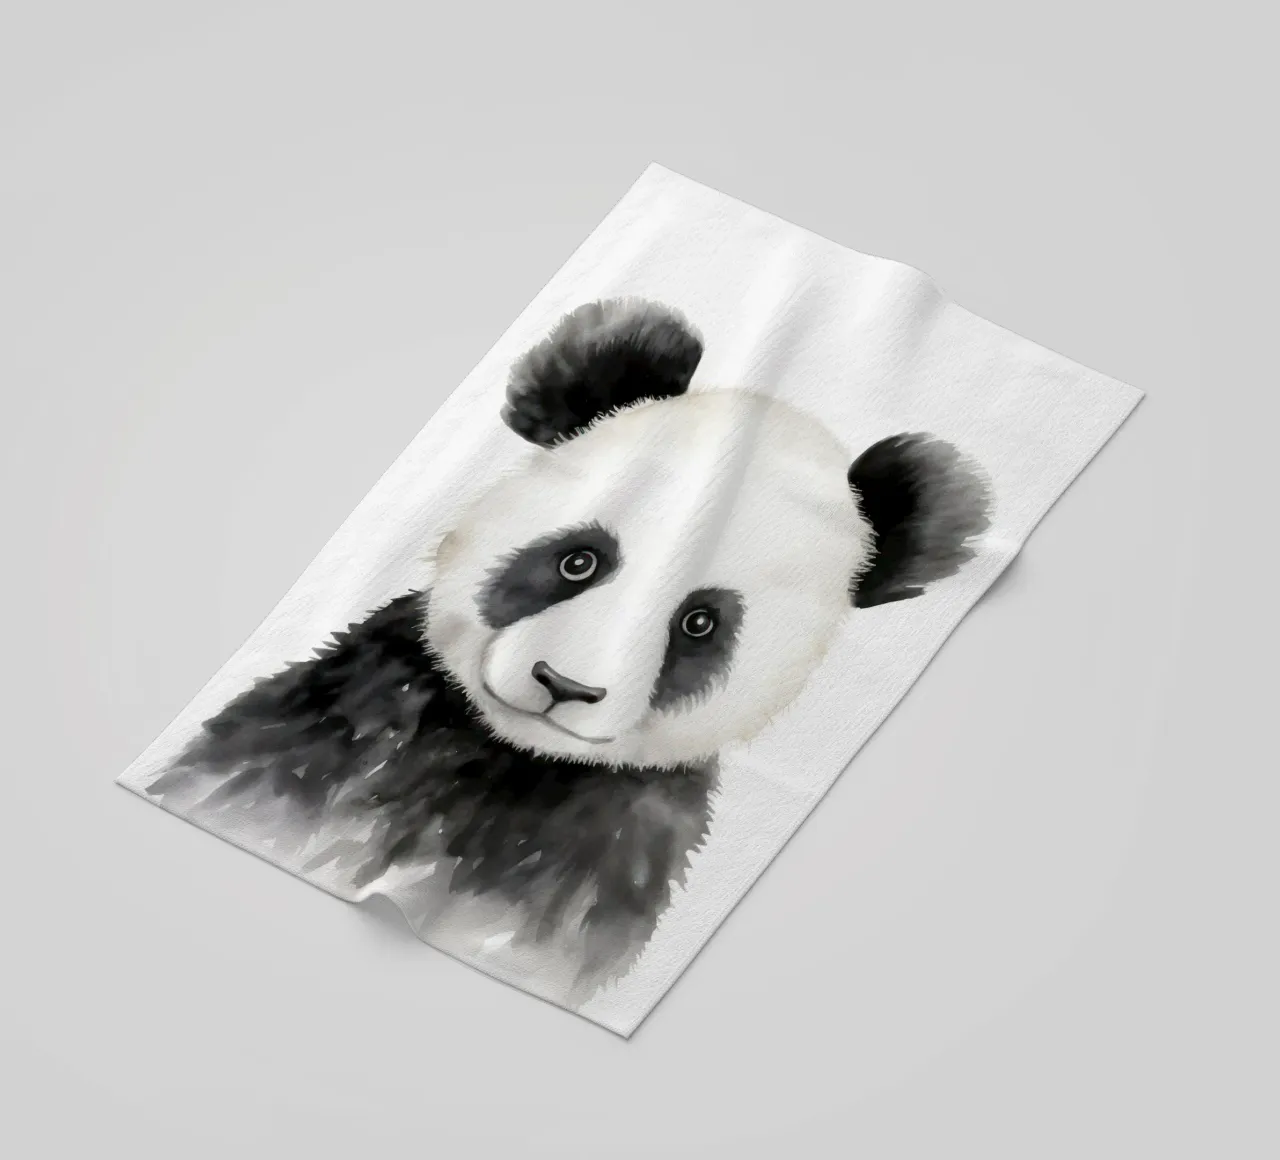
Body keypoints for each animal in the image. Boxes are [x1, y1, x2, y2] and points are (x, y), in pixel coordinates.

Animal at [148, 298, 990, 998]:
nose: (564, 686)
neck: (502, 757)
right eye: (579, 560)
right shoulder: (341, 721)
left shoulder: (606, 854)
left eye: (699, 624)